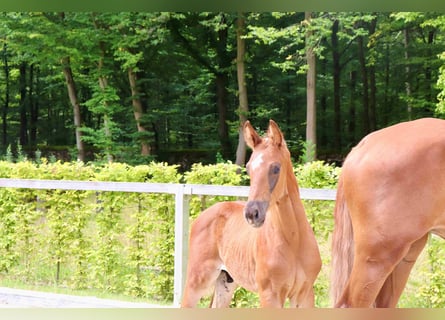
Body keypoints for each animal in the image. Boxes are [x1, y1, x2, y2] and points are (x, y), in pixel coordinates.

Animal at [180, 120, 320, 308]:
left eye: (276, 168)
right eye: (248, 168)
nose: (252, 213)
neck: (294, 240)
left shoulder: (304, 295)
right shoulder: (270, 295)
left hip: (226, 282)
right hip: (197, 280)